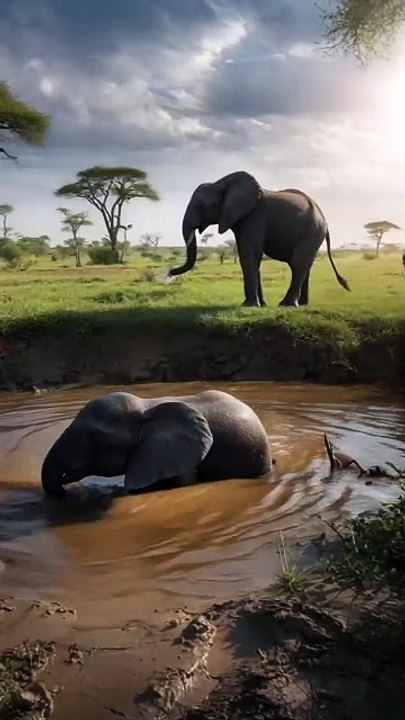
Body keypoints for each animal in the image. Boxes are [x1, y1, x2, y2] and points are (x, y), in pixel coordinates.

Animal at [167, 171, 350, 307]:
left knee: (298, 263)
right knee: (305, 265)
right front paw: (260, 305)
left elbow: (249, 254)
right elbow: (253, 257)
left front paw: (249, 305)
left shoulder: (255, 216)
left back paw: (287, 305)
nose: (169, 273)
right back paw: (303, 304)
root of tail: (324, 219)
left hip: (313, 231)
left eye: (200, 206)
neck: (221, 183)